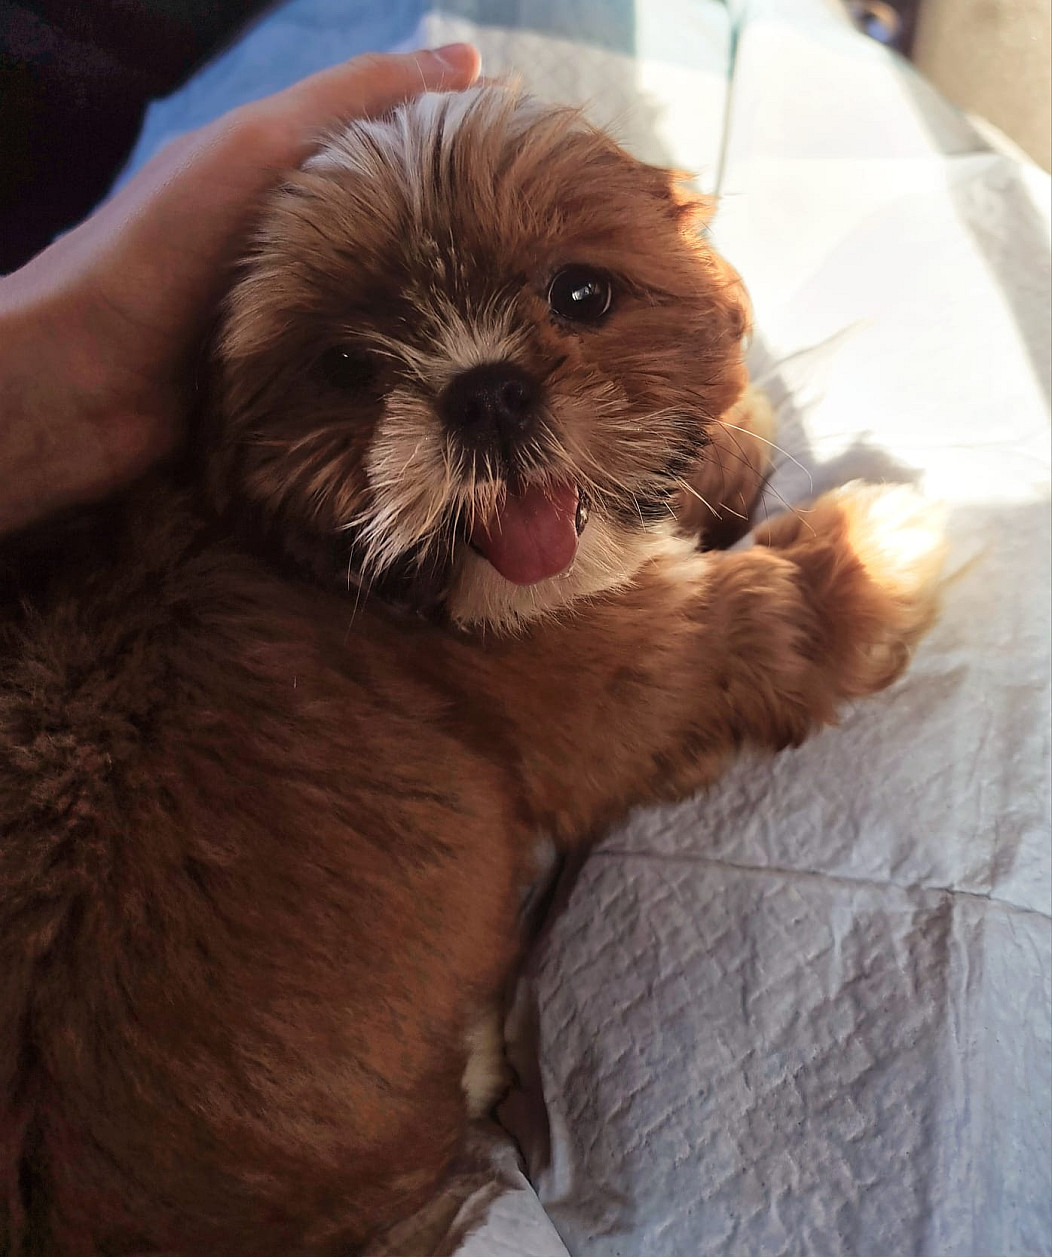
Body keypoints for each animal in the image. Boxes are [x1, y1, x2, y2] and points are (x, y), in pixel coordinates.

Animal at [0, 85, 943, 1254]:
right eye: (348, 368)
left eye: (581, 294)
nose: (486, 391)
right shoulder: (612, 680)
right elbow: (748, 626)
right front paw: (872, 553)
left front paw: (725, 444)